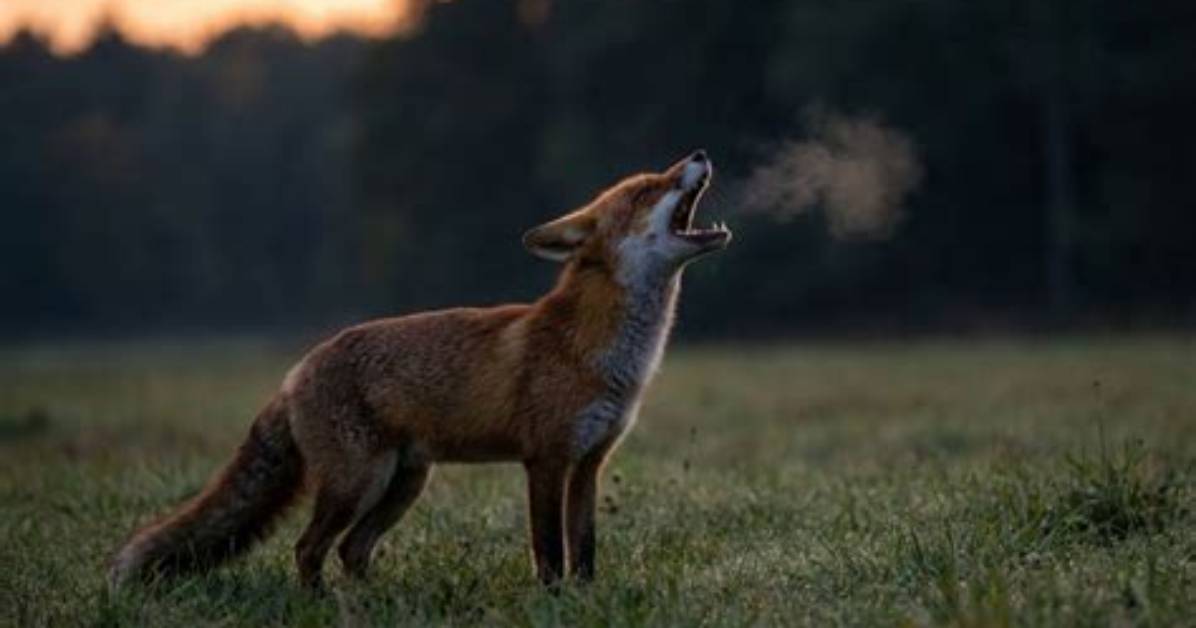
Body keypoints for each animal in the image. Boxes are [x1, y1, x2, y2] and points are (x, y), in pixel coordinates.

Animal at [108, 150, 731, 589]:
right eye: (648, 188)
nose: (699, 153)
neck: (602, 352)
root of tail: (296, 370)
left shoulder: (589, 464)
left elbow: (585, 550)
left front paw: (584, 598)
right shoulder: (546, 459)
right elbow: (549, 550)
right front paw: (554, 601)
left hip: (403, 483)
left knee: (351, 550)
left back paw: (368, 601)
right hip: (357, 482)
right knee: (308, 548)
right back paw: (323, 603)